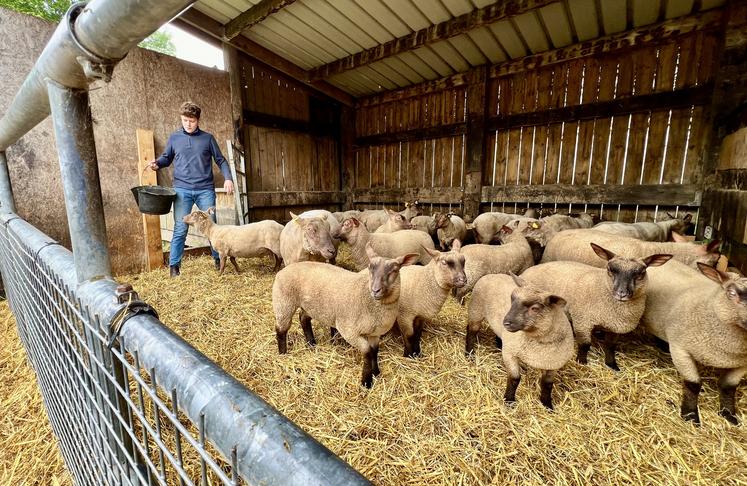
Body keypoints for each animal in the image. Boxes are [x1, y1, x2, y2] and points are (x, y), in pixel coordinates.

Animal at [272, 245, 418, 390]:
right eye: (370, 267)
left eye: (395, 270)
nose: (375, 290)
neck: (367, 298)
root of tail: (285, 269)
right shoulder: (349, 331)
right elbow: (367, 352)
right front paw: (366, 382)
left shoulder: (374, 334)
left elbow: (374, 351)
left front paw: (376, 372)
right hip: (284, 302)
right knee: (281, 329)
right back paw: (283, 353)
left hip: (309, 305)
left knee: (303, 318)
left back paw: (311, 344)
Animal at [464, 276, 576, 408]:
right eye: (512, 301)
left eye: (535, 308)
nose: (506, 322)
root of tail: (492, 274)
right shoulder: (510, 353)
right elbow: (515, 378)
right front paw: (509, 401)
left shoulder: (553, 365)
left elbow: (548, 385)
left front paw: (547, 404)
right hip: (475, 311)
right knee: (471, 332)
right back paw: (469, 354)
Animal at [520, 245, 672, 370]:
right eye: (610, 269)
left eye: (641, 273)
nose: (621, 293)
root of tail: (526, 271)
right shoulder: (583, 321)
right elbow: (585, 344)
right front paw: (581, 362)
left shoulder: (614, 327)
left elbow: (610, 346)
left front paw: (612, 365)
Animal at [640, 260, 747, 424]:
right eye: (731, 293)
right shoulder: (680, 350)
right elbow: (693, 384)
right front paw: (690, 415)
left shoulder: (741, 364)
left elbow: (728, 387)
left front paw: (729, 414)